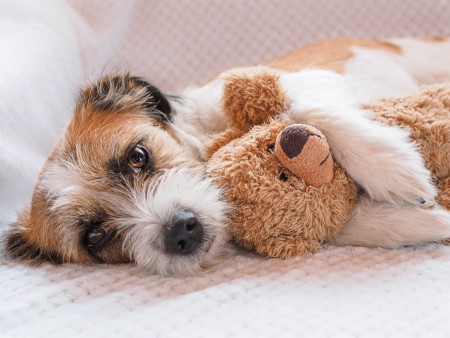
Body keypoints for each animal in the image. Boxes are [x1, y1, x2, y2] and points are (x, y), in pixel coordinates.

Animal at [5, 37, 450, 276]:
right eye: (94, 237)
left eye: (137, 156)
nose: (181, 231)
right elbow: (345, 224)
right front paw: (427, 220)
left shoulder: (301, 80)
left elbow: (306, 110)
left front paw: (393, 169)